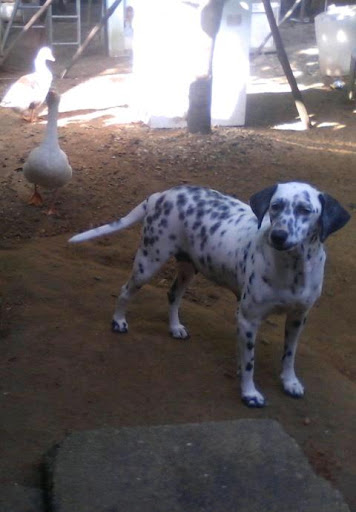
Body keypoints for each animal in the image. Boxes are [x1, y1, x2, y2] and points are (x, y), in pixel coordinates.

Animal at [68, 184, 350, 408]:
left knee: (172, 295)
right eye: (275, 206)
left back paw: (175, 327)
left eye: (305, 209)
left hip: (187, 269)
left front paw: (290, 382)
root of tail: (162, 194)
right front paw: (249, 393)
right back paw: (118, 321)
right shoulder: (249, 319)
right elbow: (250, 362)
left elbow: (289, 355)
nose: (278, 236)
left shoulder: (297, 318)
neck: (293, 268)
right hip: (148, 263)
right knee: (126, 291)